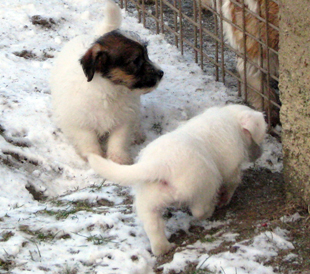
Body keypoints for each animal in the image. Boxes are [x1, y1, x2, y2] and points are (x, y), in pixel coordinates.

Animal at [49, 0, 163, 165]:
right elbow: (88, 140)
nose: (161, 73)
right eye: (136, 61)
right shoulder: (80, 123)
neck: (109, 90)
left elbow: (119, 140)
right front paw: (94, 156)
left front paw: (119, 159)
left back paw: (137, 133)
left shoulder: (123, 120)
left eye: (147, 56)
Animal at [87, 104, 266, 256]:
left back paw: (163, 248)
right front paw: (224, 199)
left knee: (153, 227)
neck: (230, 118)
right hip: (202, 185)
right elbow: (232, 184)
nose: (260, 154)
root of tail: (162, 164)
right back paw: (211, 209)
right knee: (200, 210)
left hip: (148, 201)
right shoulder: (231, 168)